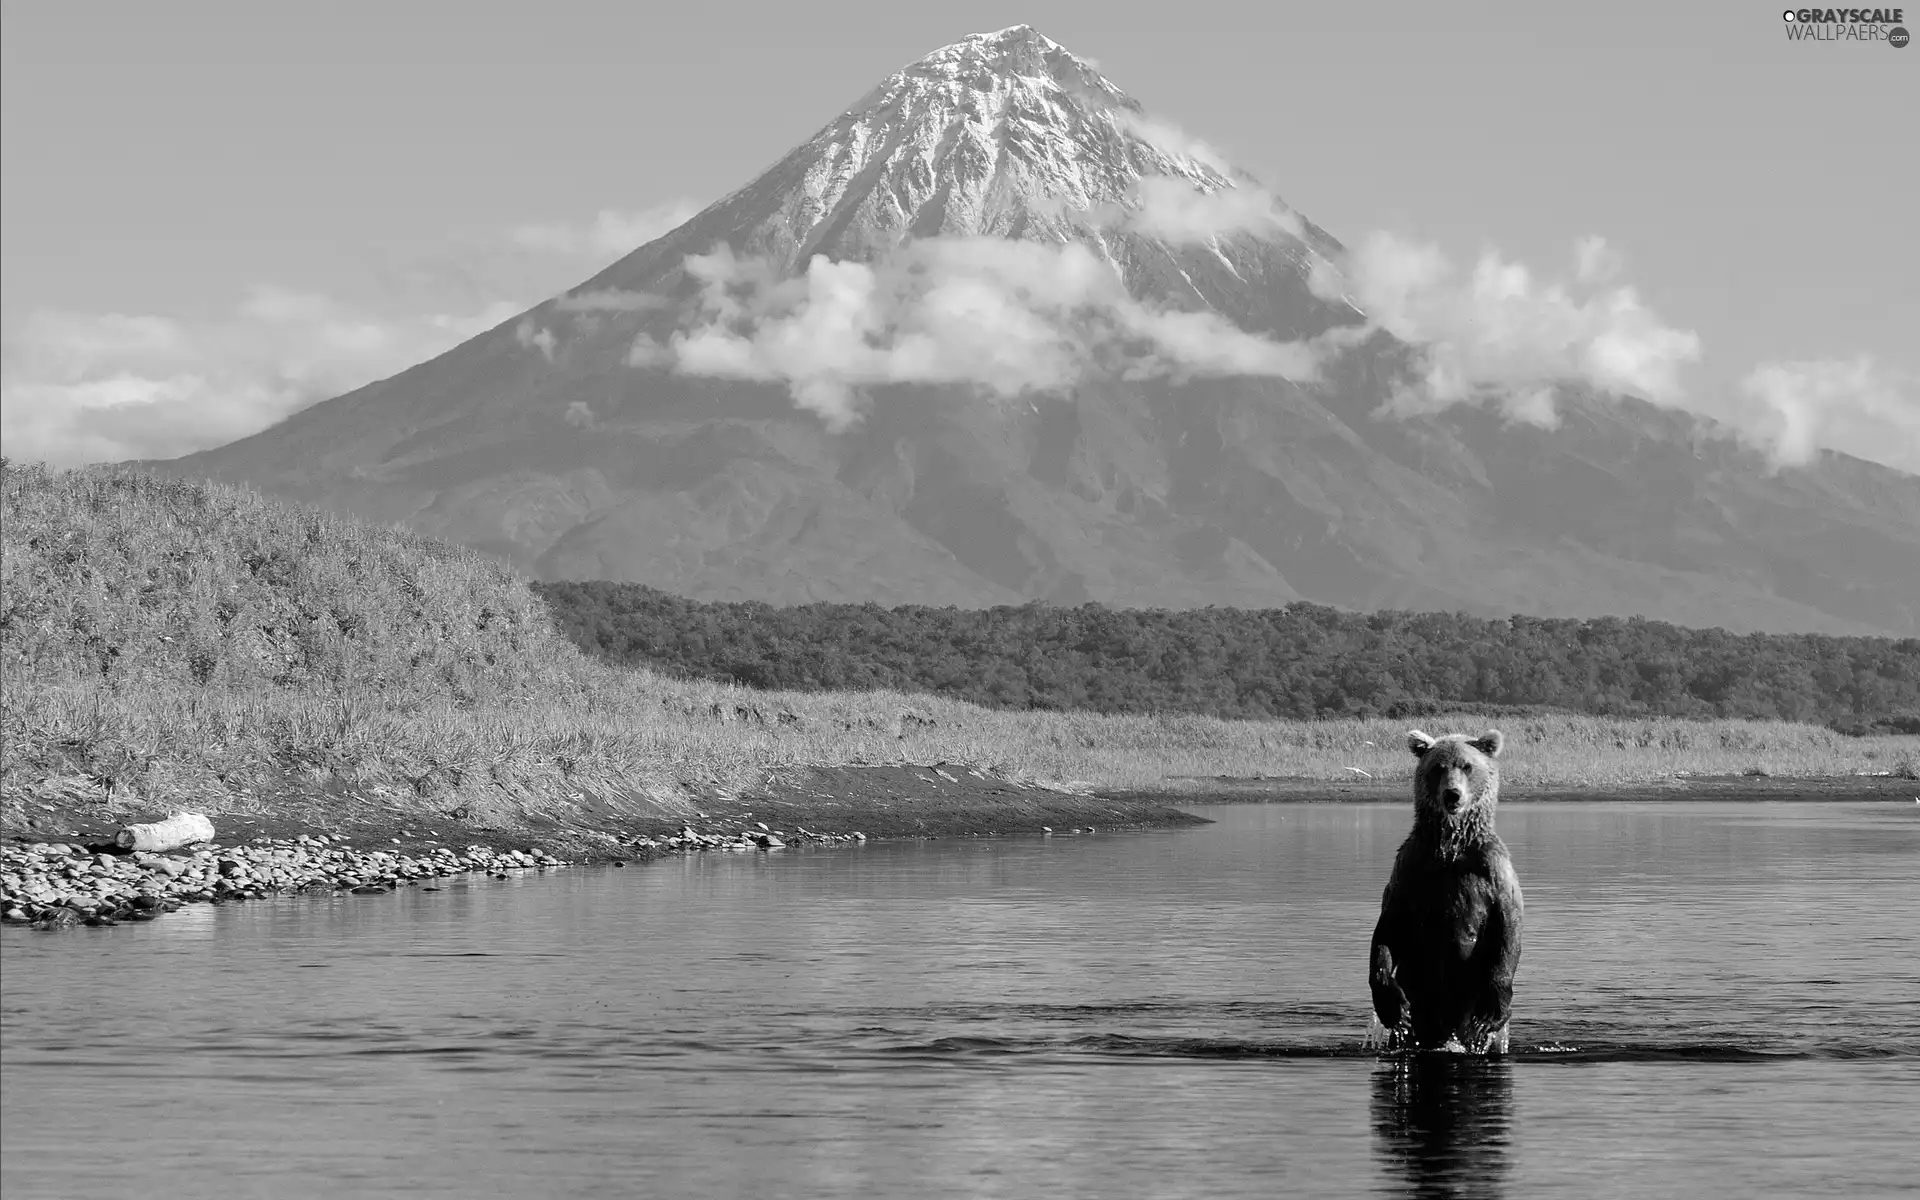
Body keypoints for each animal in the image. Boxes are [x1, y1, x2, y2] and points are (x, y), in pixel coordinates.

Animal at [1367, 729, 1528, 1044]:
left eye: (1467, 766)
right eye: (1438, 767)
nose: (1452, 794)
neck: (1450, 848)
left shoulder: (1492, 870)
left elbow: (1508, 927)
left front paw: (1490, 1014)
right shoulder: (1410, 869)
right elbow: (1387, 930)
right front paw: (1393, 1007)